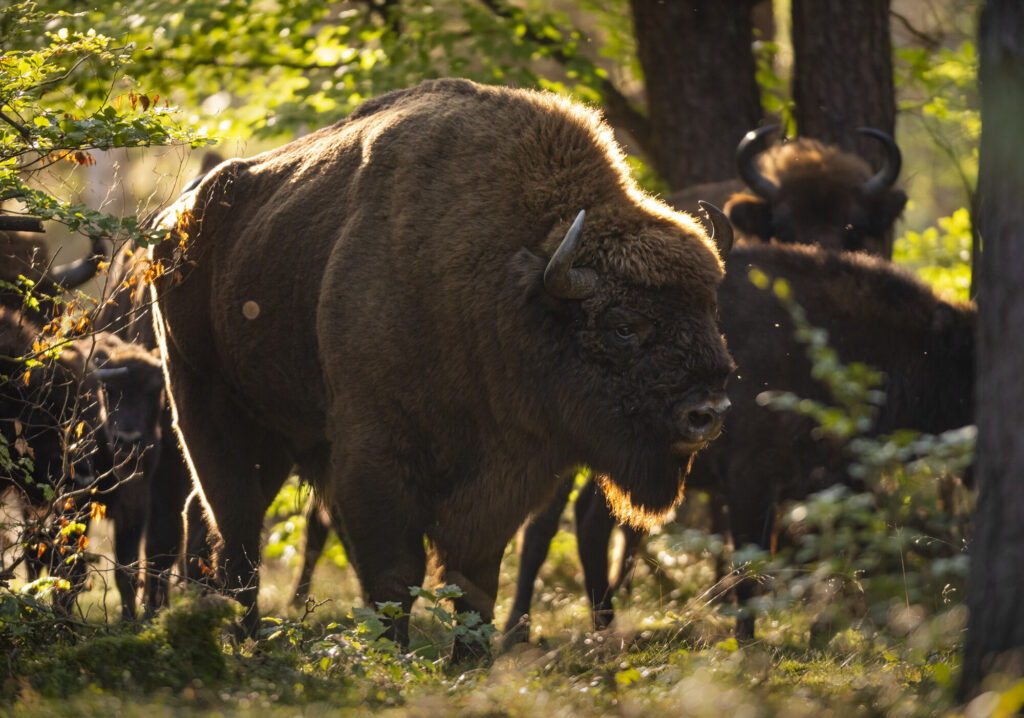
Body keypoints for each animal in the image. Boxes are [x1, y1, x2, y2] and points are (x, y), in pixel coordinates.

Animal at [148, 78, 735, 645]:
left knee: (208, 516)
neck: (504, 286)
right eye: (622, 326)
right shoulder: (375, 456)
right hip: (204, 401)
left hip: (275, 435)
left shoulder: (503, 480)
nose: (707, 414)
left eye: (710, 310)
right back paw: (245, 638)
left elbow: (474, 583)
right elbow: (393, 576)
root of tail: (175, 221)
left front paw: (468, 659)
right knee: (237, 527)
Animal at [507, 242, 974, 641]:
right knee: (548, 528)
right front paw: (749, 644)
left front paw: (826, 628)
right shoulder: (752, 479)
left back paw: (603, 627)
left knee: (585, 520)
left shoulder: (832, 481)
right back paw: (528, 633)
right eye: (963, 371)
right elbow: (750, 561)